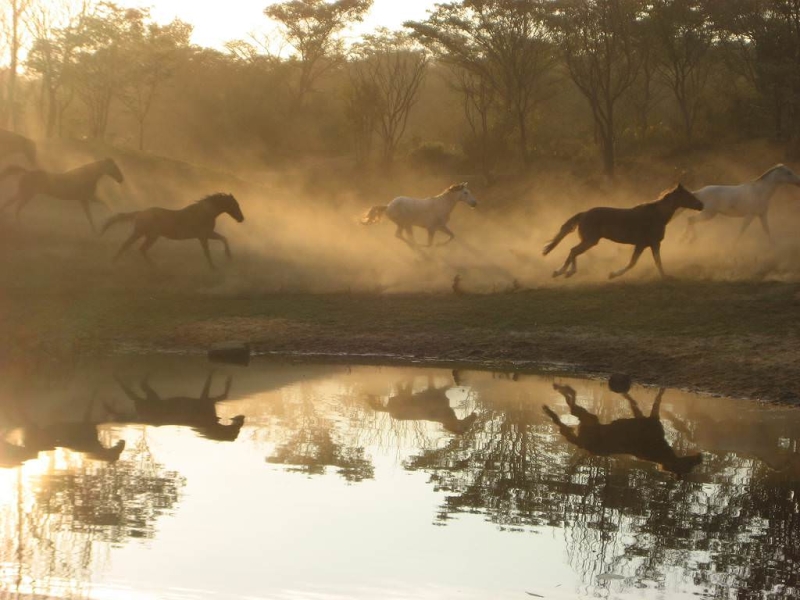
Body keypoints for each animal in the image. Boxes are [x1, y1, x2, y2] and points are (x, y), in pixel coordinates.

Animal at [104, 192, 247, 268]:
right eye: (234, 205)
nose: (241, 219)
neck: (205, 213)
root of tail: (141, 213)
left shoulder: (205, 235)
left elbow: (223, 239)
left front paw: (227, 257)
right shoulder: (204, 235)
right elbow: (208, 251)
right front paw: (215, 266)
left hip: (147, 235)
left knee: (136, 248)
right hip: (147, 235)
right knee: (132, 247)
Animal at [540, 184, 704, 280]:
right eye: (688, 195)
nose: (701, 205)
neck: (656, 216)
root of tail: (584, 214)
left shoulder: (652, 244)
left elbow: (656, 261)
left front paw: (665, 276)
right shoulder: (644, 244)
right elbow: (633, 263)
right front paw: (613, 274)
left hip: (589, 241)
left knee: (572, 252)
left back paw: (560, 272)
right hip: (590, 241)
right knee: (573, 251)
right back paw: (567, 272)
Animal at [540, 384, 704, 478]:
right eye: (689, 467)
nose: (700, 457)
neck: (659, 452)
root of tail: (586, 447)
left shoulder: (640, 417)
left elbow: (634, 402)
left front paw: (625, 394)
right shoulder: (651, 418)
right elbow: (657, 398)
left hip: (588, 421)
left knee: (569, 410)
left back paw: (555, 397)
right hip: (588, 420)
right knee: (570, 407)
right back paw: (556, 395)